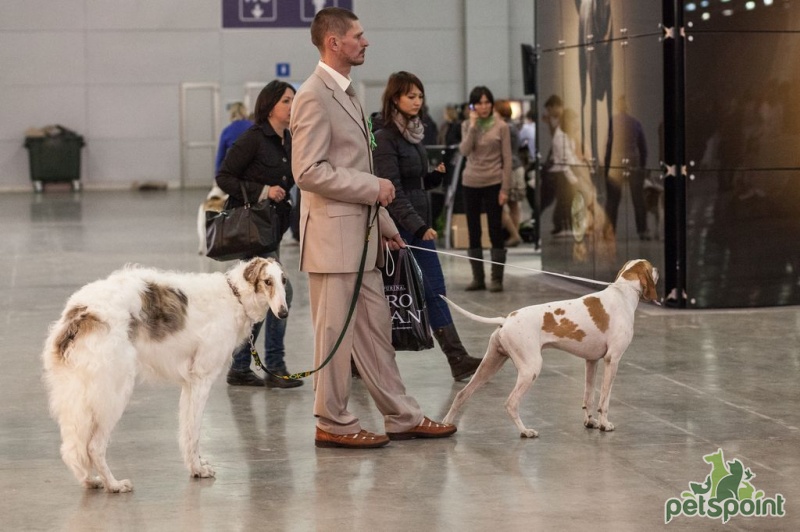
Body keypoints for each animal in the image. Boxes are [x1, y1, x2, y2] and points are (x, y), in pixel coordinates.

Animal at [42, 258, 288, 494]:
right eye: (267, 281)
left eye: (284, 281)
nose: (283, 312)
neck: (234, 296)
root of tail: (79, 314)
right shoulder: (202, 379)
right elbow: (194, 432)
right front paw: (198, 469)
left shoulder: (189, 384)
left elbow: (187, 431)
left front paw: (196, 466)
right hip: (113, 393)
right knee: (93, 446)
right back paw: (114, 484)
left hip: (79, 396)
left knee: (73, 447)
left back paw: (90, 480)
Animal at [440, 258, 660, 436]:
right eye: (651, 266)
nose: (658, 268)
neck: (623, 293)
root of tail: (506, 319)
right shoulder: (612, 360)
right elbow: (604, 400)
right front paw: (605, 424)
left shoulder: (591, 361)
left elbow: (588, 396)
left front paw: (590, 422)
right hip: (530, 369)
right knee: (511, 403)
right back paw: (525, 431)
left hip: (489, 367)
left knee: (461, 395)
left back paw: (446, 425)